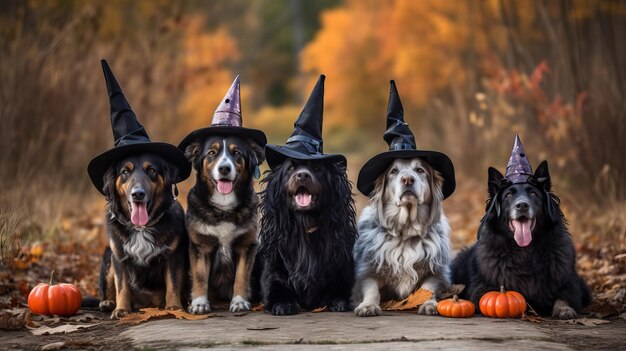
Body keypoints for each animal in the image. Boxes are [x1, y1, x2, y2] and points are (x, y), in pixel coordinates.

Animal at [98, 154, 188, 320]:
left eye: (151, 170)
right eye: (125, 171)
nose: (138, 194)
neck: (141, 228)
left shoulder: (173, 255)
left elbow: (173, 283)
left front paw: (174, 307)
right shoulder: (118, 257)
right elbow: (121, 285)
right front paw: (122, 309)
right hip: (108, 257)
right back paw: (108, 303)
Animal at [184, 136, 264, 314]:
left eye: (236, 153)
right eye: (211, 153)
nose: (224, 169)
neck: (223, 207)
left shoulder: (246, 246)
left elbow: (241, 276)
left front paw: (239, 301)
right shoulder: (200, 246)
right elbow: (200, 276)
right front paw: (199, 303)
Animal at [256, 160, 356, 316]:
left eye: (316, 168)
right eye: (291, 168)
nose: (302, 175)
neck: (305, 228)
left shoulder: (341, 269)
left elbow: (340, 287)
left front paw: (337, 301)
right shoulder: (273, 271)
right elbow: (276, 287)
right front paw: (283, 304)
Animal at [352, 158, 448, 318]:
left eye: (420, 170)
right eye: (394, 171)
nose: (407, 179)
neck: (405, 232)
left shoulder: (436, 272)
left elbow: (429, 288)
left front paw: (429, 304)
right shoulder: (367, 272)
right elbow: (372, 290)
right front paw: (368, 305)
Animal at [450, 162, 588, 320]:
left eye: (533, 193)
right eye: (508, 195)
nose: (522, 205)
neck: (525, 250)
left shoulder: (570, 285)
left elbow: (563, 298)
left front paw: (564, 309)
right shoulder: (480, 289)